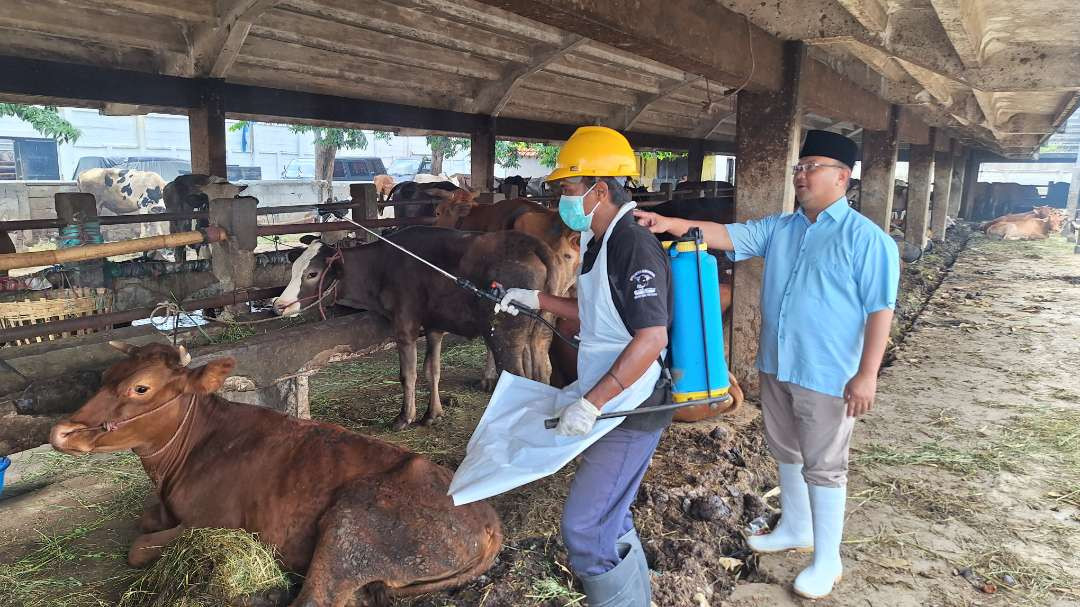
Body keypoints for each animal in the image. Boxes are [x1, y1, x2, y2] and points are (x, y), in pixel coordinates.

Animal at [51, 341, 501, 604]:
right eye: (105, 376)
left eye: (141, 388)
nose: (61, 432)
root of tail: (488, 518)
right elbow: (144, 521)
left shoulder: (213, 524)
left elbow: (138, 546)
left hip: (351, 525)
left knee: (318, 596)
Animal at [270, 226, 561, 429]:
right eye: (293, 269)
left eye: (312, 274)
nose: (279, 305)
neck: (383, 265)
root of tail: (531, 243)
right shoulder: (433, 326)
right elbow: (432, 370)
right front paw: (432, 415)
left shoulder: (405, 326)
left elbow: (408, 374)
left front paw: (404, 417)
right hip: (539, 333)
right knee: (543, 370)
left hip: (504, 337)